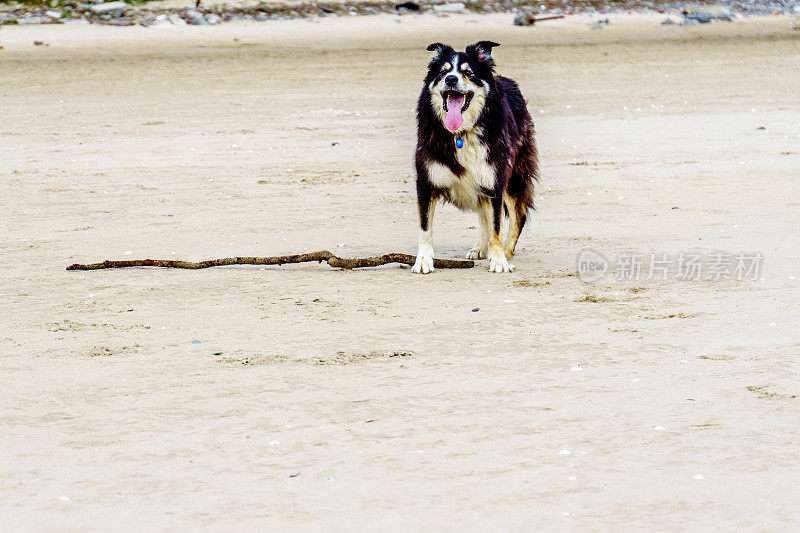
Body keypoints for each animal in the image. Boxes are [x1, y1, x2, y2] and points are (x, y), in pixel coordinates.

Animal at [412, 40, 536, 274]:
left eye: (468, 72)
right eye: (443, 73)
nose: (451, 79)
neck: (460, 134)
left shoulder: (494, 180)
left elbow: (496, 225)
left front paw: (499, 260)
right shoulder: (426, 182)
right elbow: (425, 227)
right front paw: (423, 260)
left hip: (513, 176)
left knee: (518, 216)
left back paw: (506, 252)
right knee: (483, 215)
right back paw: (480, 247)